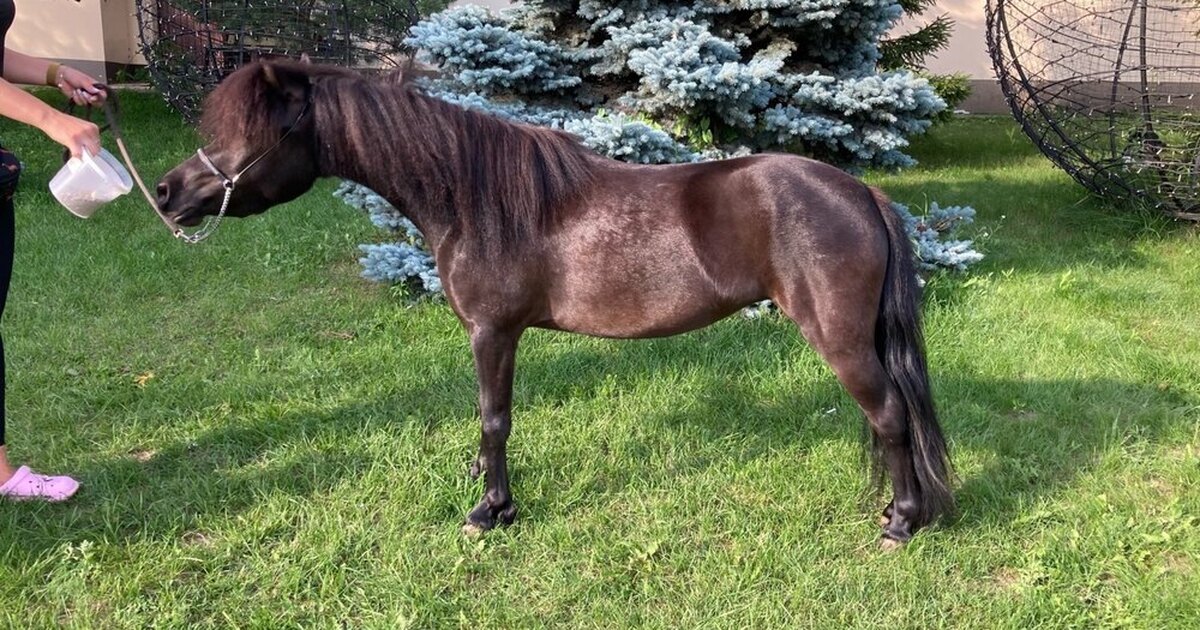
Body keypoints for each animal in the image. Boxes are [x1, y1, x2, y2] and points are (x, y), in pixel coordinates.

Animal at [155, 60, 954, 547]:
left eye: (246, 136)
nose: (166, 192)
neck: (473, 197)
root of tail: (862, 193)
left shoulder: (493, 332)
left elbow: (494, 421)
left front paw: (491, 512)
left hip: (841, 341)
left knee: (890, 416)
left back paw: (901, 524)